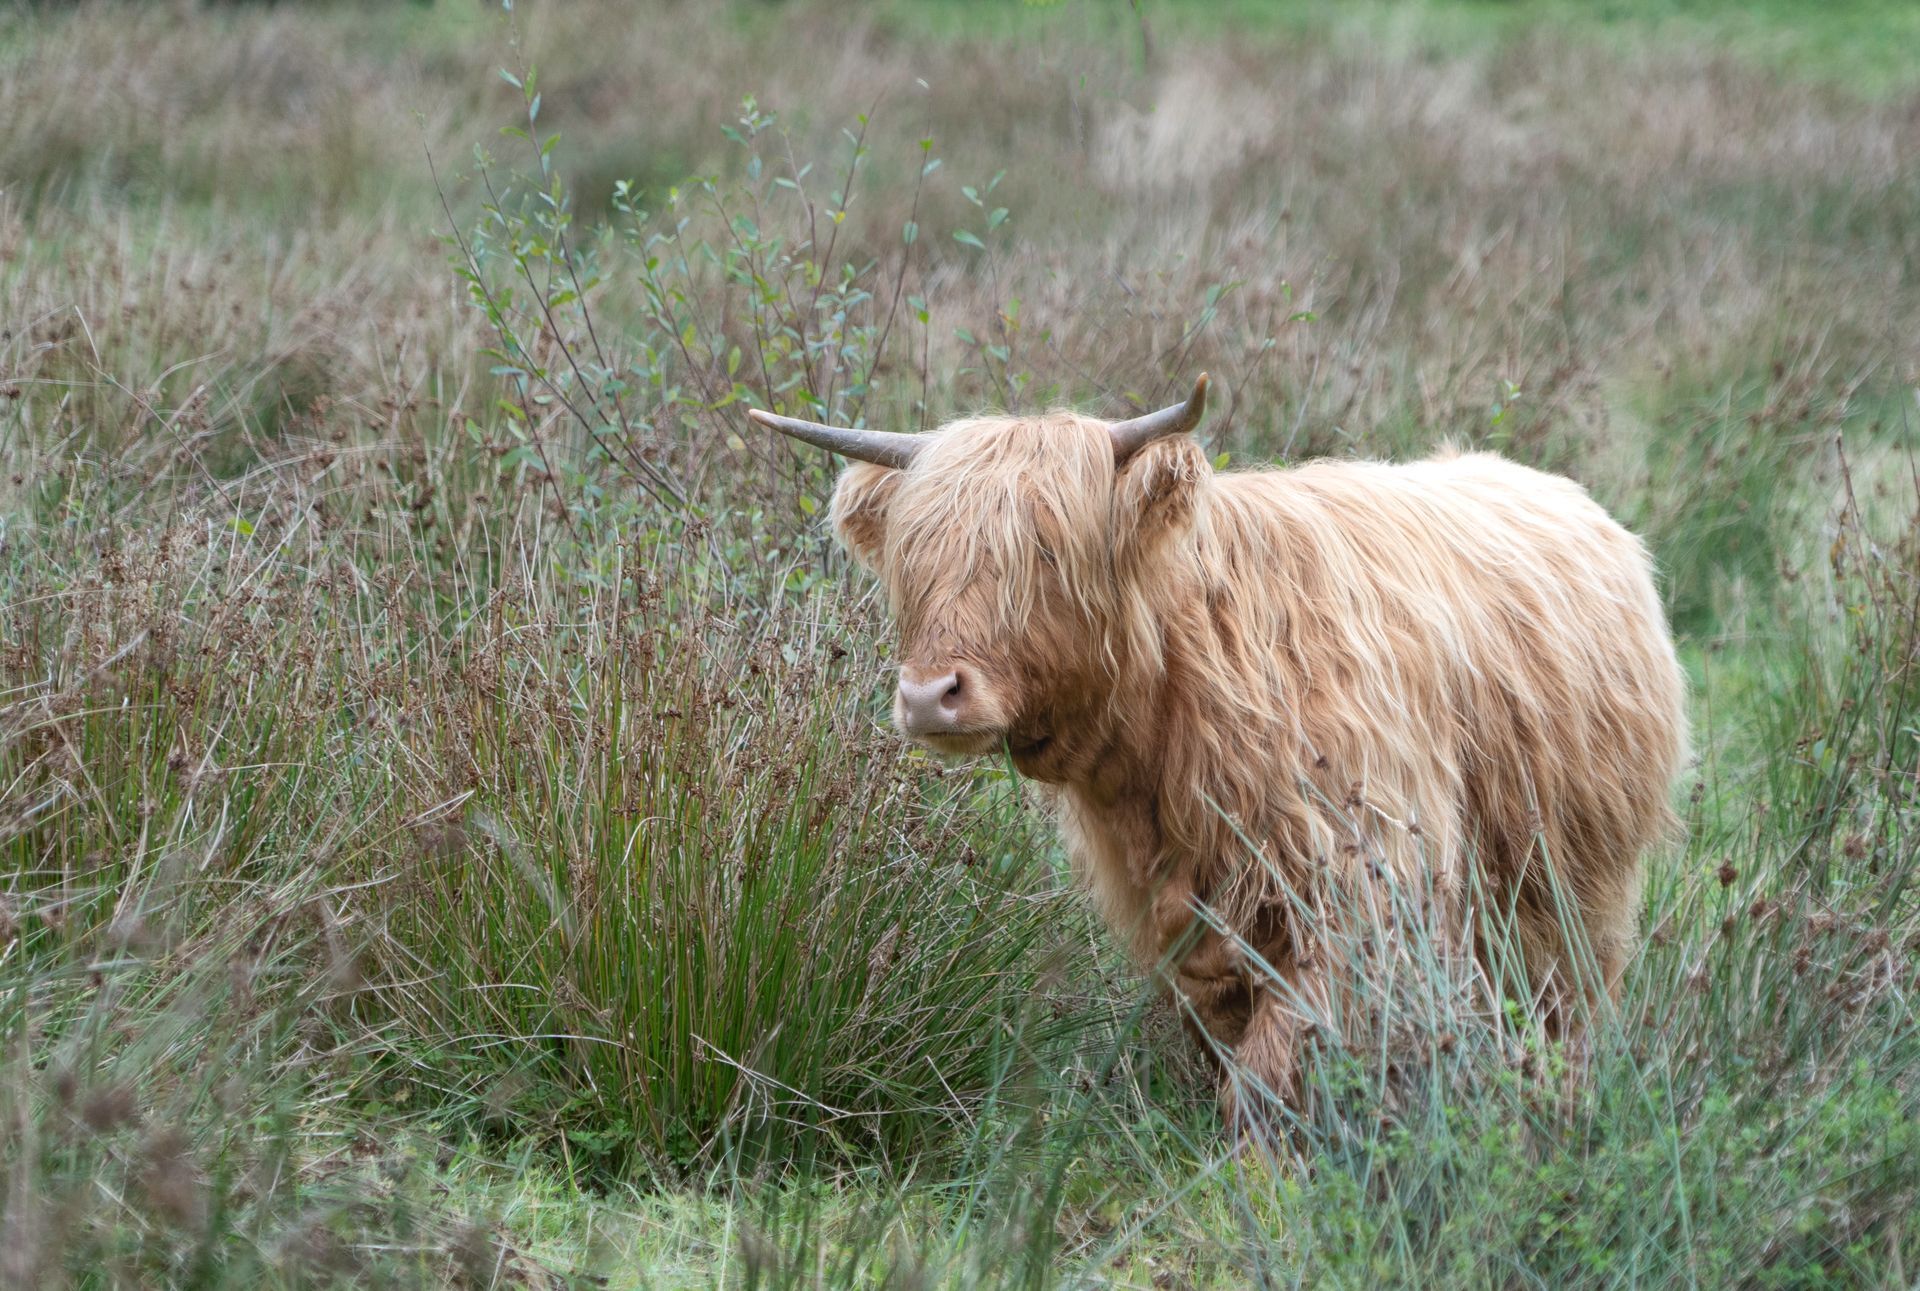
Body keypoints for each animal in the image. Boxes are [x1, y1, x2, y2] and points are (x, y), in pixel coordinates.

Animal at [748, 376, 1689, 1126]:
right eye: (913, 558)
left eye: (1047, 548)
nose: (928, 694)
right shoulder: (1185, 918)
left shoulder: (1362, 880)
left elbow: (1274, 1068)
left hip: (1574, 885)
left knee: (1566, 994)